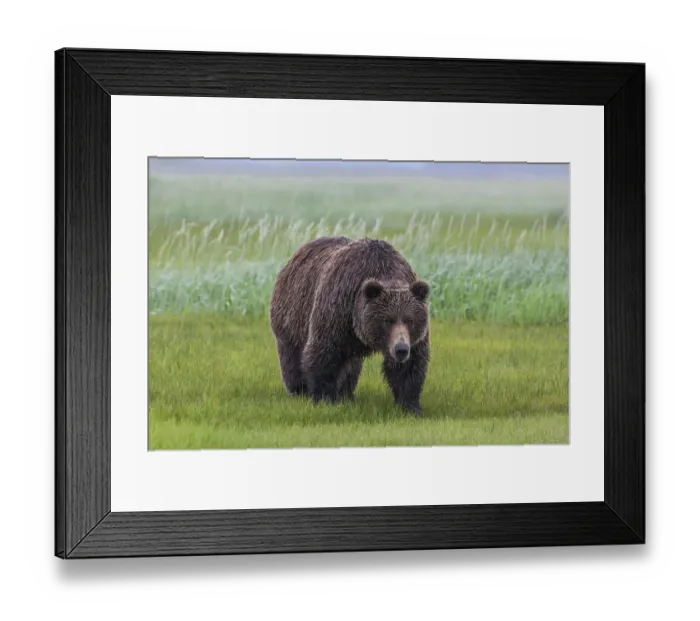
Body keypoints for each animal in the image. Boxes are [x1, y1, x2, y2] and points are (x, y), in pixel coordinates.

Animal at [269, 236, 430, 415]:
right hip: (293, 313)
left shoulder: (412, 338)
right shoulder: (338, 309)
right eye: (388, 320)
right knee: (292, 354)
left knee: (352, 365)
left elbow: (410, 366)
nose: (401, 349)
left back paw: (346, 393)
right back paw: (299, 390)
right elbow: (325, 354)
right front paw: (324, 398)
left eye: (410, 320)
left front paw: (411, 406)